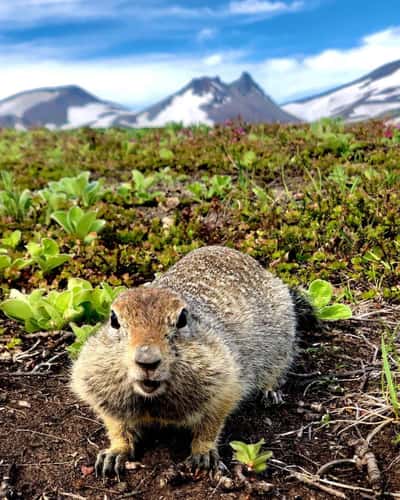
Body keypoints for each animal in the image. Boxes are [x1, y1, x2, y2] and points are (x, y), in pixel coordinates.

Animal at [71, 246, 316, 476]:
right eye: (114, 319)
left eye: (182, 319)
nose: (147, 360)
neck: (153, 399)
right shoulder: (100, 385)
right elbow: (116, 425)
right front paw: (113, 454)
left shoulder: (224, 380)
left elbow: (211, 422)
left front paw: (203, 454)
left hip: (281, 341)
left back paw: (270, 392)